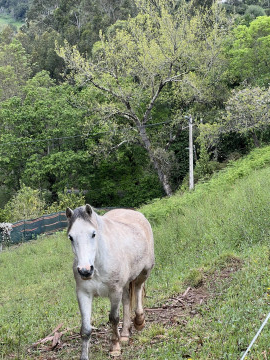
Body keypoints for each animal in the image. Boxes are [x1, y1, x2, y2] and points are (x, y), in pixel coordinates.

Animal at [65, 204, 155, 358]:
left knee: (138, 289)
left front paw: (115, 347)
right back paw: (124, 334)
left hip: (144, 272)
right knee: (126, 300)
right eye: (71, 237)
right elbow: (86, 329)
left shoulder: (114, 292)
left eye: (93, 234)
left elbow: (113, 318)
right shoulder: (83, 294)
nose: (85, 271)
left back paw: (139, 321)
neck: (98, 264)